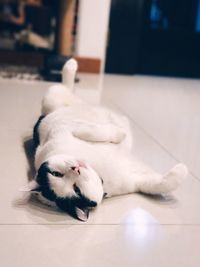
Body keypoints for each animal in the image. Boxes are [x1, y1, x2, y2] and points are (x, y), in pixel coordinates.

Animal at [21, 58, 188, 222]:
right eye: (76, 189)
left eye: (56, 174)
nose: (75, 168)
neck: (98, 169)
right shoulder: (136, 181)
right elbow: (159, 185)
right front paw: (182, 169)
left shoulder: (69, 128)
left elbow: (92, 131)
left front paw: (119, 133)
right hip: (54, 97)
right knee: (64, 85)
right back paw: (71, 65)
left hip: (55, 102)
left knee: (66, 87)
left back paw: (71, 65)